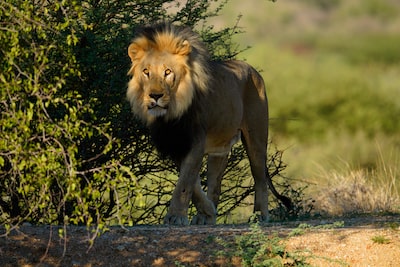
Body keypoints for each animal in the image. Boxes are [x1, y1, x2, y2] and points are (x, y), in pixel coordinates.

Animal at [126, 22, 290, 225]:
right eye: (146, 72)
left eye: (167, 72)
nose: (155, 96)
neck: (171, 114)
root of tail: (253, 69)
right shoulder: (177, 144)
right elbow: (193, 184)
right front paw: (207, 212)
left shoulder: (196, 141)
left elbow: (185, 182)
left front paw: (176, 217)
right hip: (220, 148)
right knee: (215, 184)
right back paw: (209, 216)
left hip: (256, 138)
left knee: (259, 178)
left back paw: (260, 216)